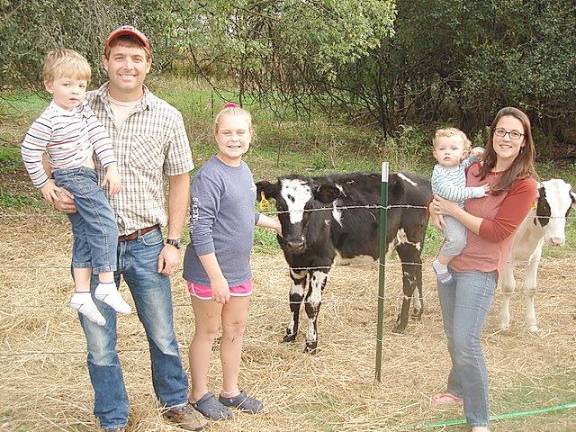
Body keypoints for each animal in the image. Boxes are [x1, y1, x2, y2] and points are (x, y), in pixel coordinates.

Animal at [258, 170, 432, 352]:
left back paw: (401, 324)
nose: (295, 243)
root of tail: (420, 180)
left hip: (409, 241)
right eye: (280, 206)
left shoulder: (322, 261)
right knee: (418, 268)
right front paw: (290, 335)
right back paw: (417, 311)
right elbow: (294, 299)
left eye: (310, 207)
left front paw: (311, 343)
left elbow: (312, 303)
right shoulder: (295, 262)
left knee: (409, 280)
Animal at [500, 177, 576, 332]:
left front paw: (532, 323)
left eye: (568, 209)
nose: (556, 240)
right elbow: (508, 286)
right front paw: (504, 322)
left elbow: (531, 288)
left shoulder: (536, 255)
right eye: (546, 207)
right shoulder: (508, 257)